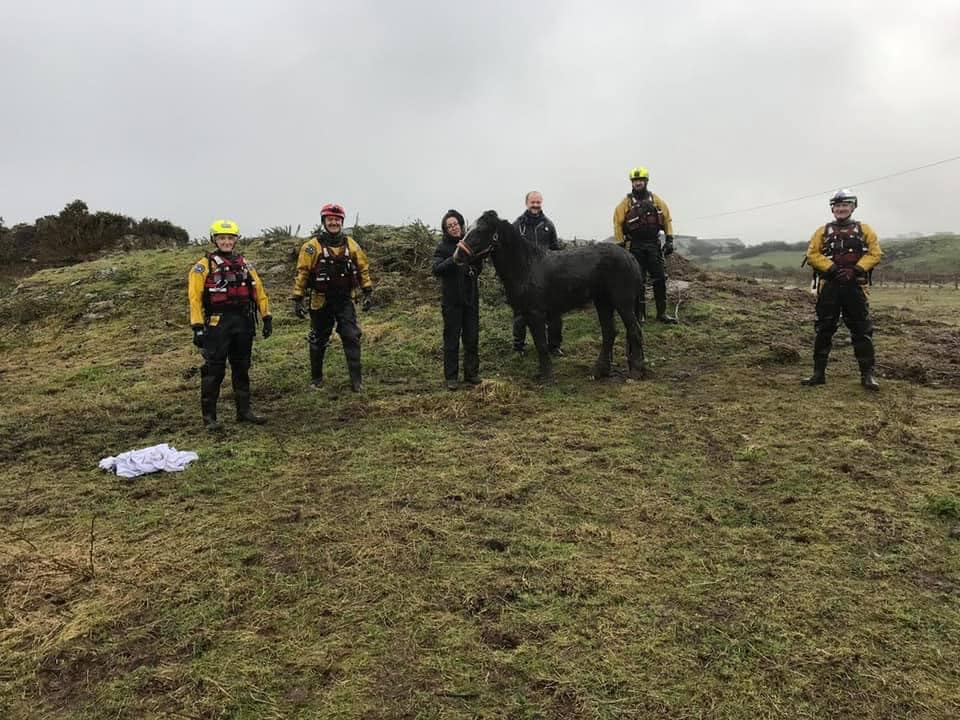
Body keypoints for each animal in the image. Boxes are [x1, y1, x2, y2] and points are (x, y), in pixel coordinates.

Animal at [452, 210, 644, 382]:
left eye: (481, 230)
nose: (457, 256)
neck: (526, 266)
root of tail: (631, 257)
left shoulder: (536, 313)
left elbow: (541, 345)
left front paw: (546, 376)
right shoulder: (528, 314)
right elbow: (539, 343)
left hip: (622, 303)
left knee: (634, 330)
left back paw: (635, 372)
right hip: (603, 302)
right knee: (609, 333)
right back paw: (599, 372)